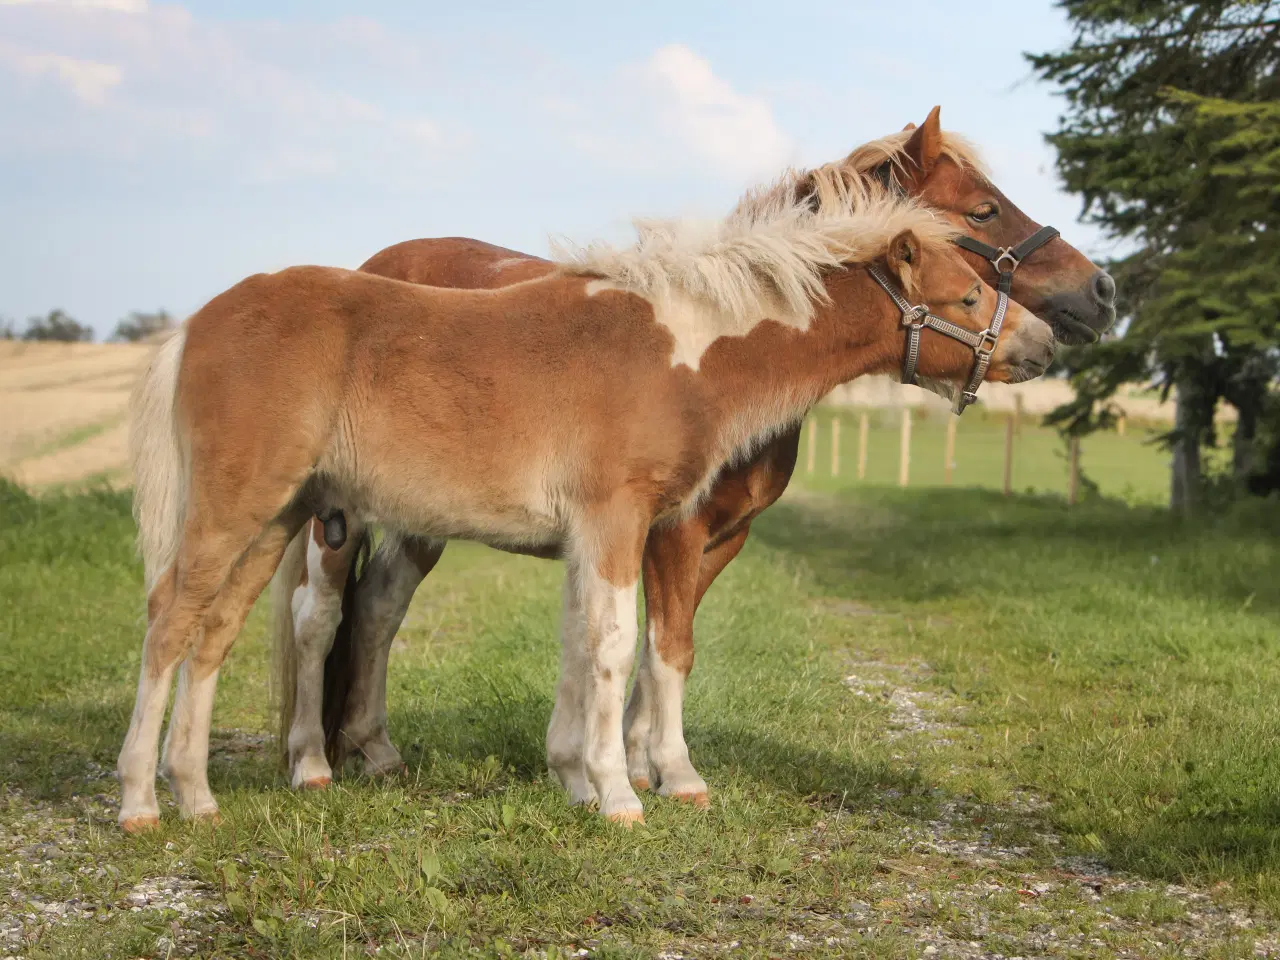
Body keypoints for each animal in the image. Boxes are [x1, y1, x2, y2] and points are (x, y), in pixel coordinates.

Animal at [120, 150, 1054, 834]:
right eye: (970, 286)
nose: (1046, 344)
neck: (685, 347)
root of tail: (196, 322)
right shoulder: (618, 521)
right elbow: (616, 644)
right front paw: (623, 795)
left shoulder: (598, 535)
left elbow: (583, 643)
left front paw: (577, 778)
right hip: (249, 513)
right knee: (180, 617)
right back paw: (147, 802)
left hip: (278, 519)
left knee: (221, 627)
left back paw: (199, 797)